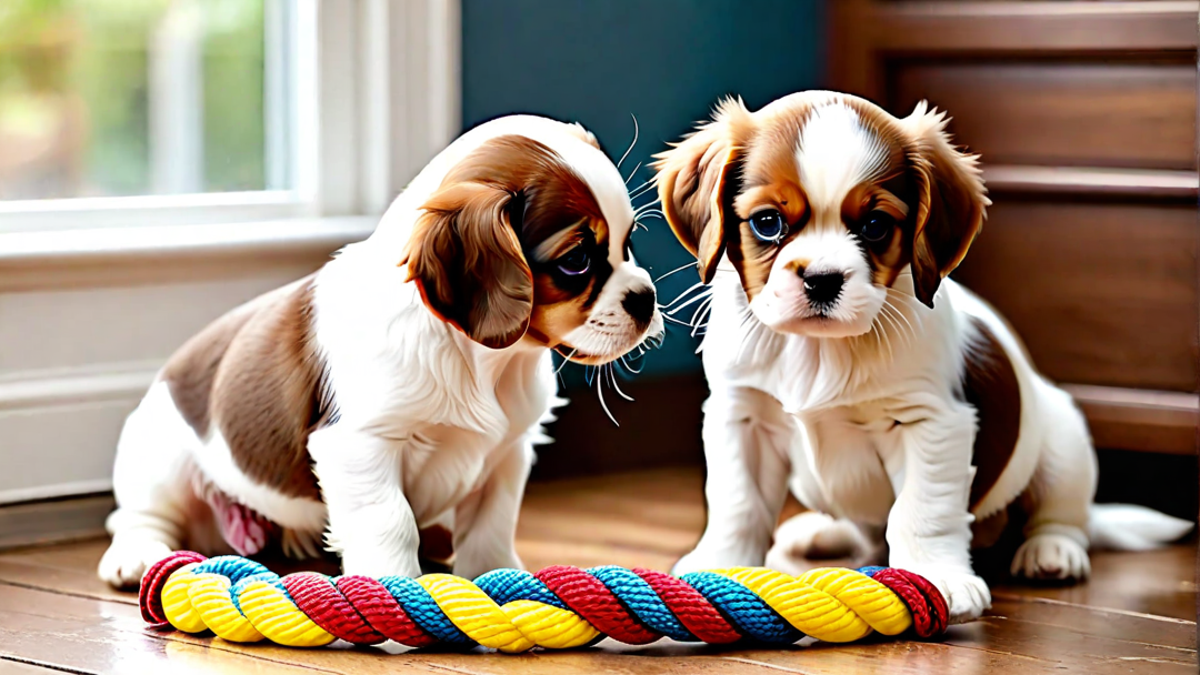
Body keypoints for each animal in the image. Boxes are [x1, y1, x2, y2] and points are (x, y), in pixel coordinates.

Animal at [100, 112, 667, 586]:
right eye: (576, 261)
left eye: (628, 242)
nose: (646, 298)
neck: (484, 362)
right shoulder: (360, 443)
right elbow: (390, 520)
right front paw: (394, 592)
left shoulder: (509, 451)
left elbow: (492, 523)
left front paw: (498, 580)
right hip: (161, 460)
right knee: (139, 516)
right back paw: (136, 556)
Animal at [657, 91, 1190, 624]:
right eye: (768, 222)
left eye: (875, 226)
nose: (822, 279)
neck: (819, 348)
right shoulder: (740, 416)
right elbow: (737, 503)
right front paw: (718, 564)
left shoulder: (931, 421)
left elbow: (922, 510)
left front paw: (937, 578)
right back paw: (821, 532)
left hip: (1062, 444)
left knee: (1062, 516)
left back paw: (1052, 552)